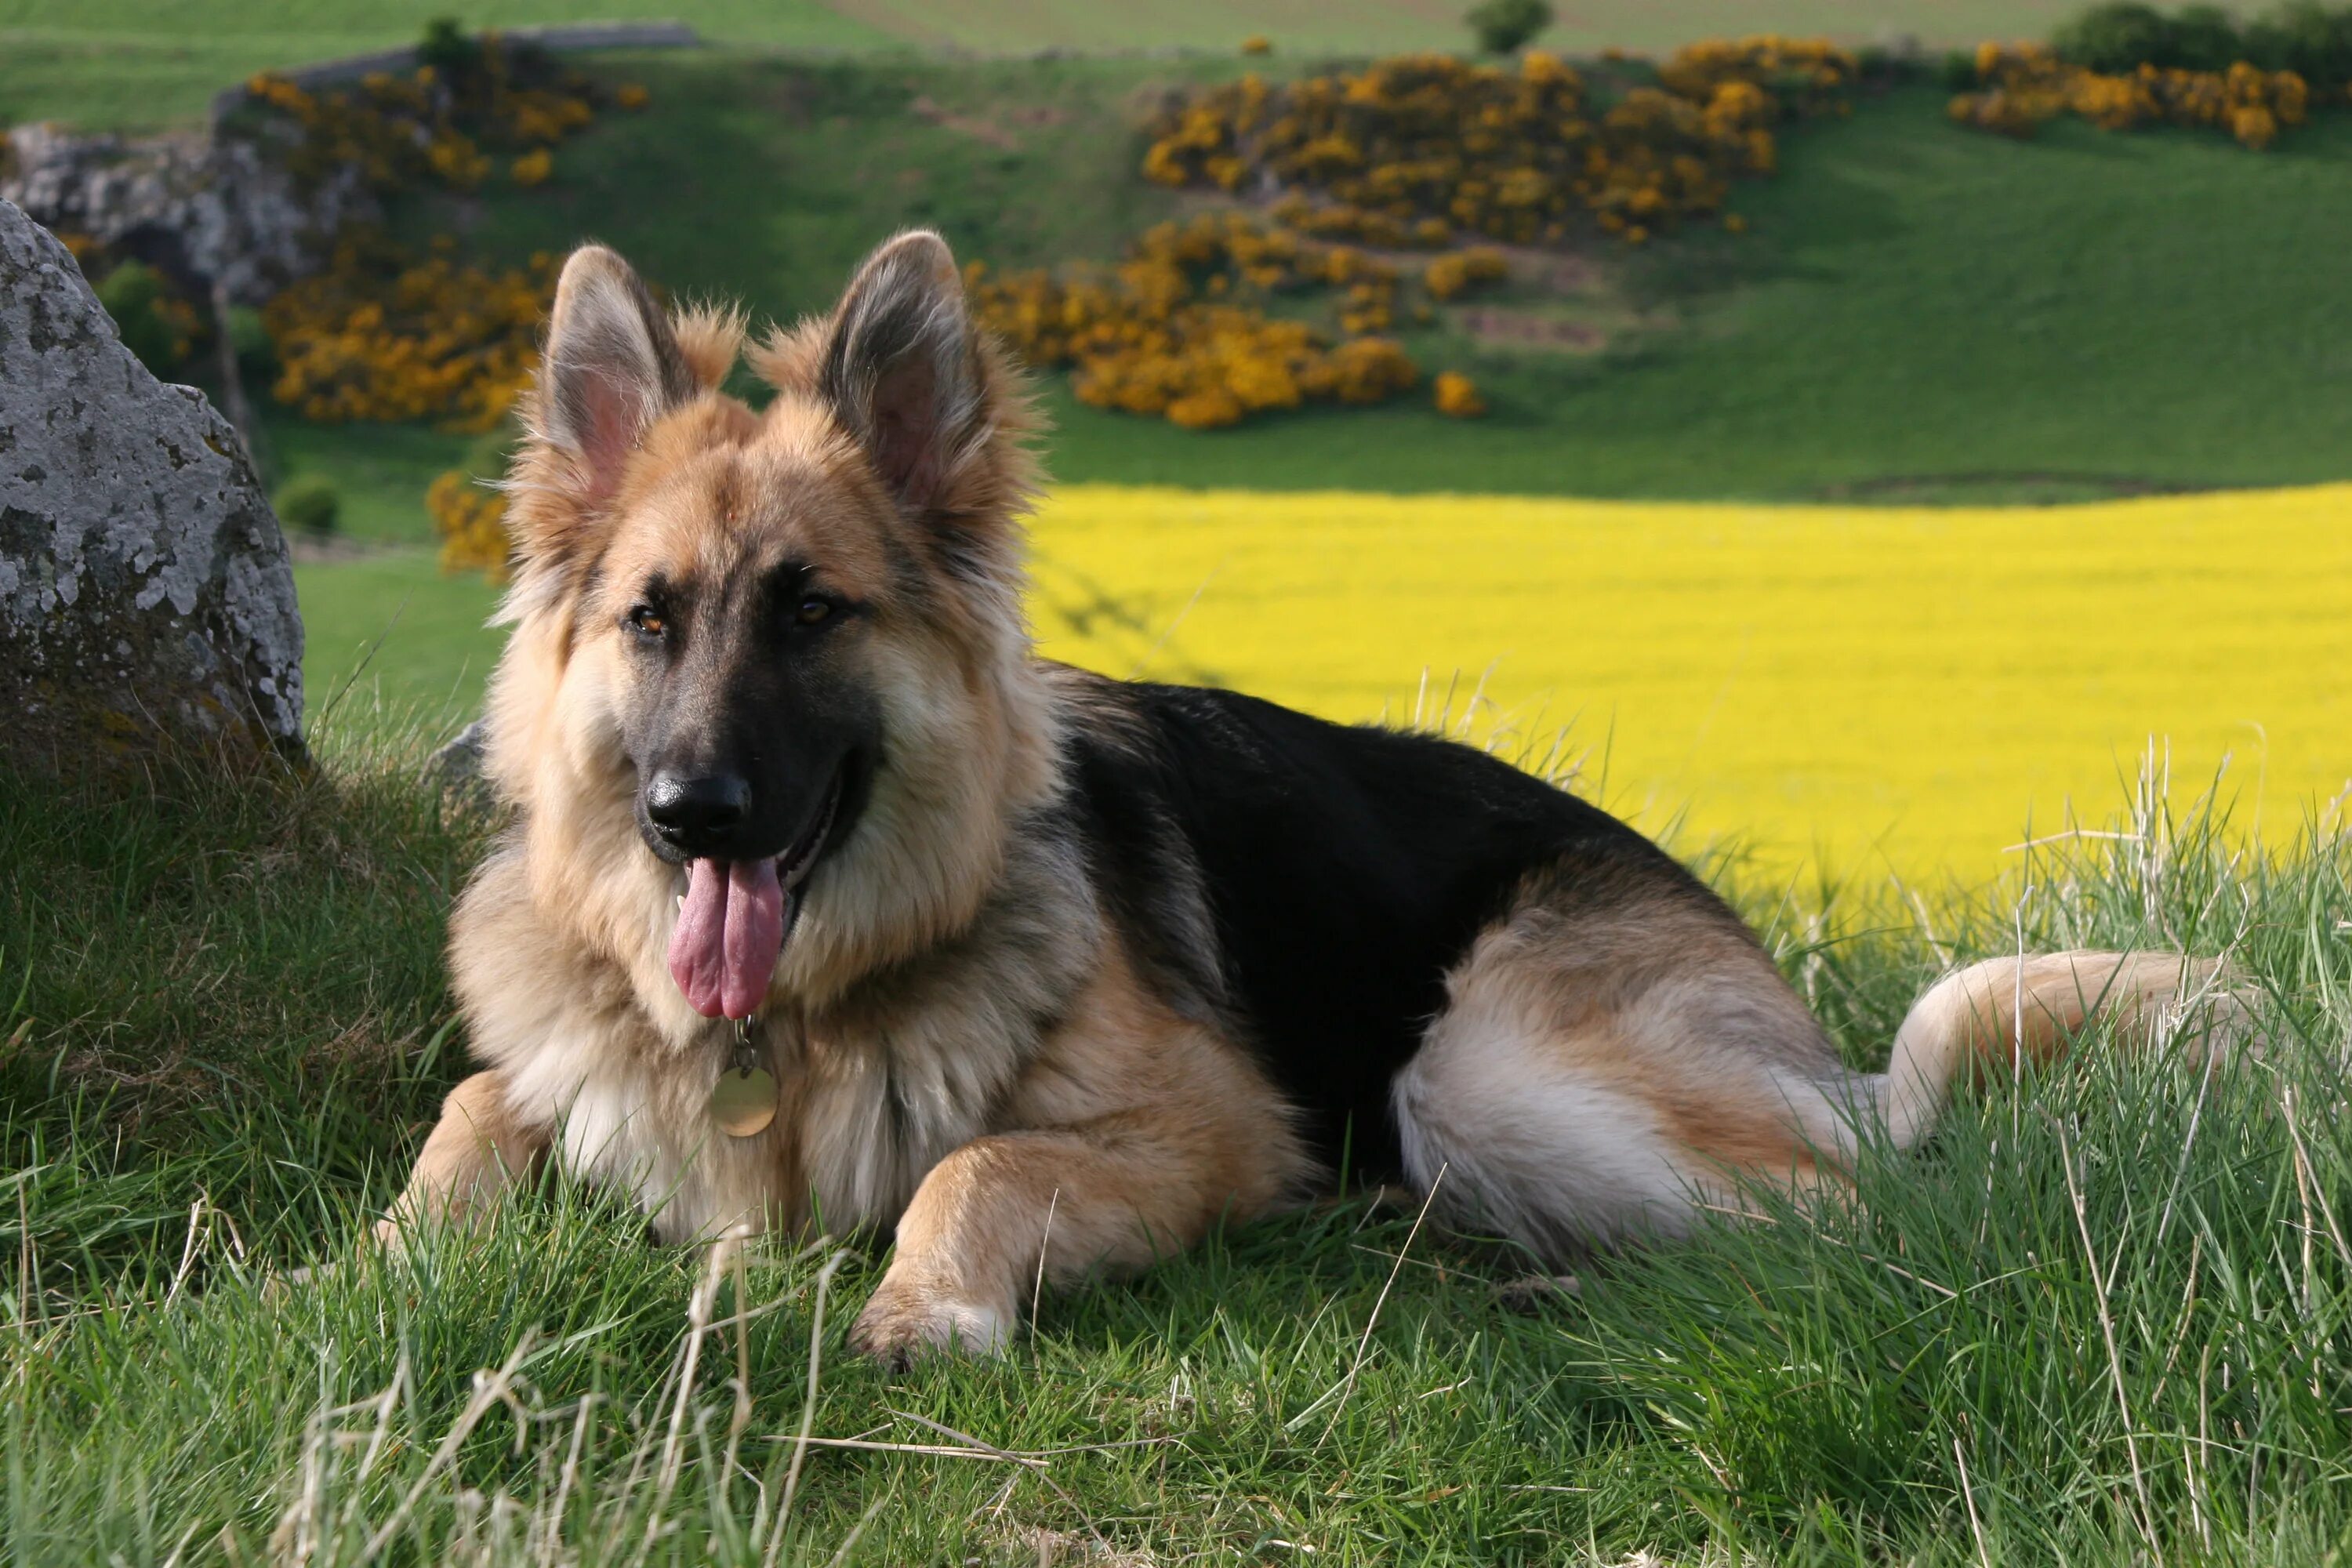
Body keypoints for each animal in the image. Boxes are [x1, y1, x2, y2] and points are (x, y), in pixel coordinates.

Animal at [390, 230, 2258, 1363]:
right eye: (652, 621)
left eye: (809, 612)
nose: (689, 813)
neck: (790, 1030)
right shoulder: (555, 1071)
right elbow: (476, 1105)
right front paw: (398, 1253)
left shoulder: (1214, 1129)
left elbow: (972, 1162)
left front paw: (926, 1305)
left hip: (1475, 1065)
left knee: (1850, 1218)